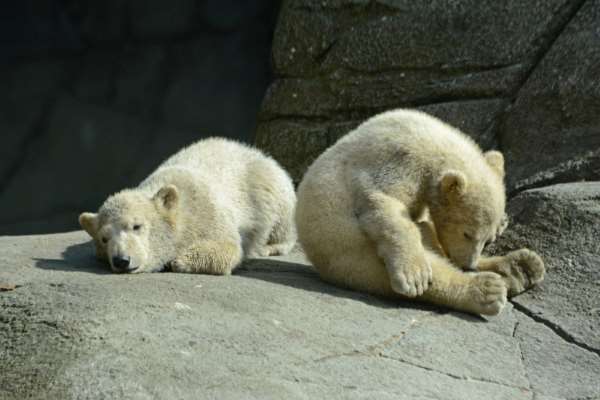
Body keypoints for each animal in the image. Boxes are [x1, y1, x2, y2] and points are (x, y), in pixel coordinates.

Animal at [77, 138, 298, 276]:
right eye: (104, 239)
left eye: (136, 226)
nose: (121, 260)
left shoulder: (207, 209)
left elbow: (228, 247)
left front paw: (178, 261)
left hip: (271, 190)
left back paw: (269, 247)